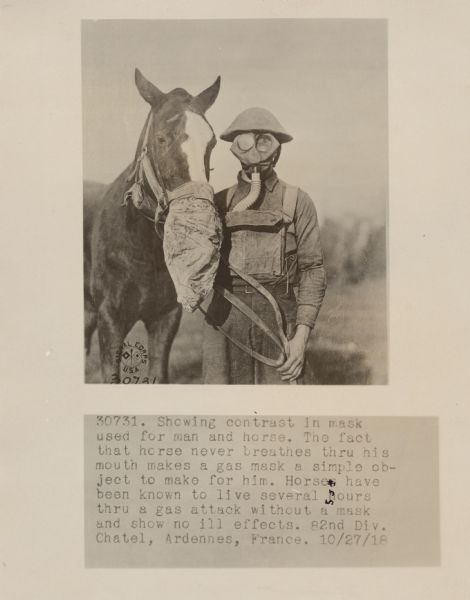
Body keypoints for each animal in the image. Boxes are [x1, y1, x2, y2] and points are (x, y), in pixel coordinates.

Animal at [84, 68, 220, 382]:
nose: (196, 220)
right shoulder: (110, 318)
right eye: (161, 139)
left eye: (212, 143)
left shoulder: (165, 317)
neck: (141, 247)